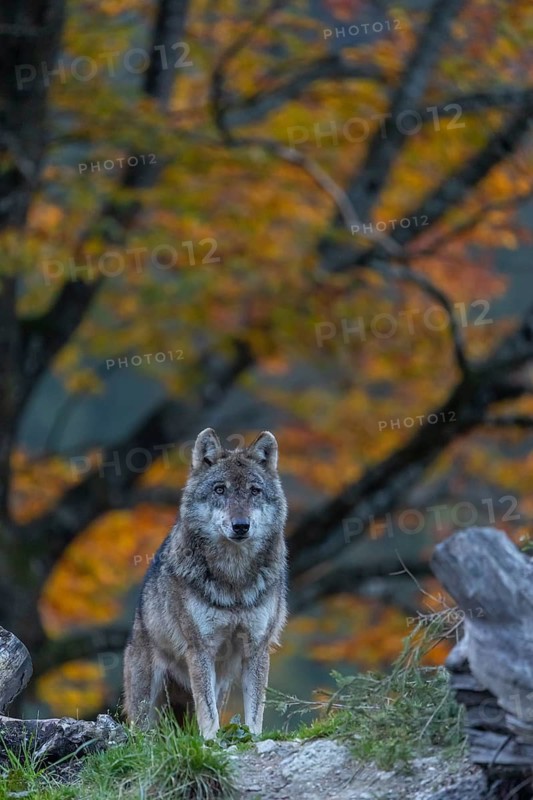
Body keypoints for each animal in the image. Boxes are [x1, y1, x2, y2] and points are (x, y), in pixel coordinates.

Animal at [123, 428, 288, 739]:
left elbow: (255, 711)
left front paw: (252, 738)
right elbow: (207, 711)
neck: (234, 580)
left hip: (220, 684)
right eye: (220, 489)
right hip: (147, 699)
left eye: (254, 491)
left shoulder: (256, 649)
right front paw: (211, 741)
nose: (241, 526)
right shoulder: (200, 649)